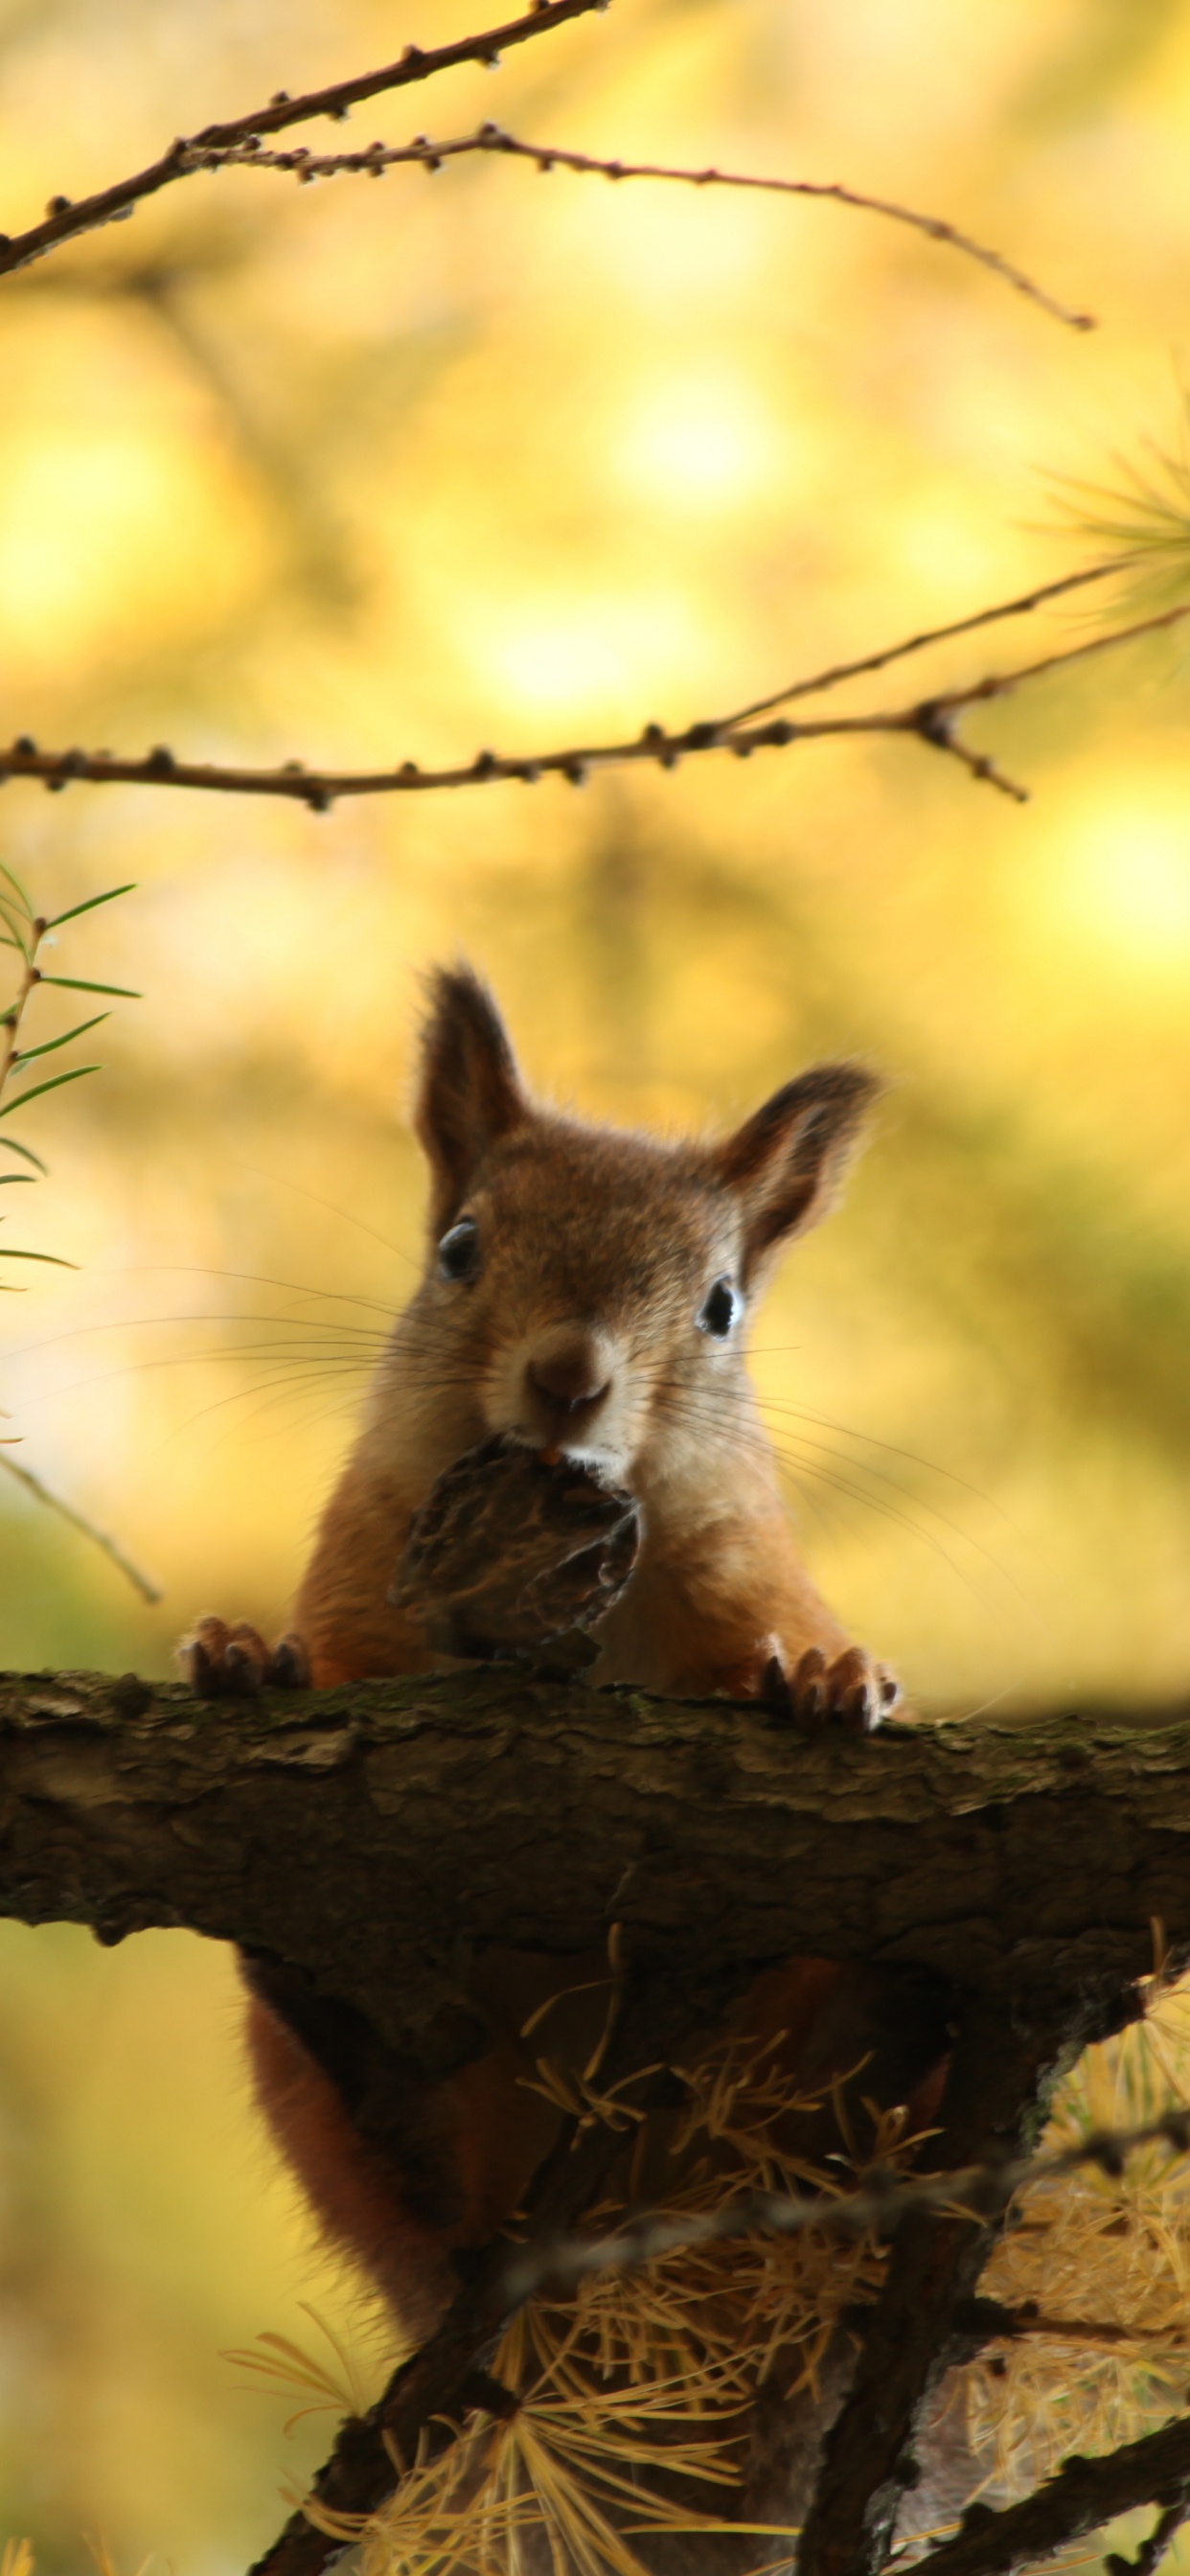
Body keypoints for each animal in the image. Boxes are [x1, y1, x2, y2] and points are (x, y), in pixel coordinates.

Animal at [184, 974, 901, 2349]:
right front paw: (242, 1655)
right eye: (460, 1247)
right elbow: (341, 1669)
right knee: (404, 2138)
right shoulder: (363, 1579)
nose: (570, 1377)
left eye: (720, 1306)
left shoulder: (748, 1578)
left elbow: (774, 1645)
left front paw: (833, 1684)